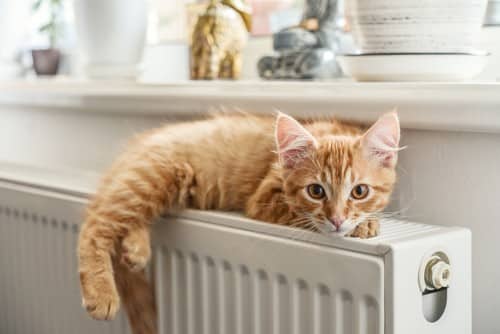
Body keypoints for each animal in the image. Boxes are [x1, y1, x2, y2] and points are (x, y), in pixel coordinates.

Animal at [77, 112, 398, 334]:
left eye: (359, 191)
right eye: (316, 191)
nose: (337, 219)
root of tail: (138, 143)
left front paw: (364, 220)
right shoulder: (264, 199)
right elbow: (301, 215)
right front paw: (361, 225)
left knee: (130, 216)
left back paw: (135, 249)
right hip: (152, 176)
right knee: (94, 222)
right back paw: (101, 293)